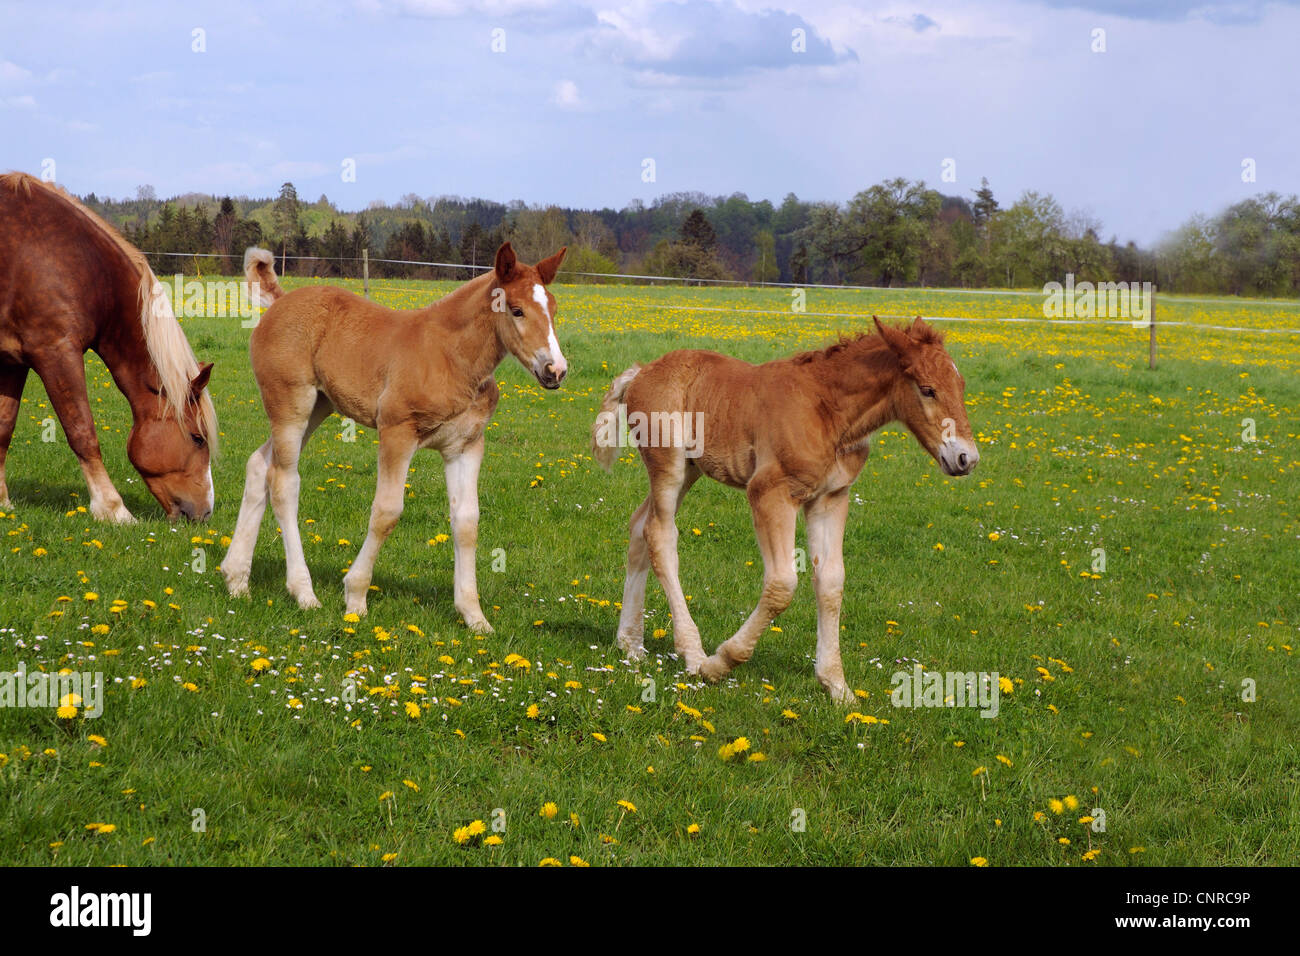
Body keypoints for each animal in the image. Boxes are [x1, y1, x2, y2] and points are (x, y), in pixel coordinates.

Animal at [0, 167, 215, 520]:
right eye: (197, 438)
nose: (205, 512)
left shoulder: (13, 363)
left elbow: (4, 427)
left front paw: (3, 501)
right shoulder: (56, 353)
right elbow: (82, 431)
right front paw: (114, 509)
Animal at [220, 240, 566, 629]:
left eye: (553, 309)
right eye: (517, 310)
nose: (556, 370)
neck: (450, 356)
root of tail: (279, 301)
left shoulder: (465, 446)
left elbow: (467, 522)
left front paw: (474, 616)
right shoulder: (397, 432)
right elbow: (386, 512)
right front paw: (356, 597)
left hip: (319, 407)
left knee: (259, 465)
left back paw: (236, 580)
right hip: (291, 404)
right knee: (283, 482)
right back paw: (304, 593)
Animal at [590, 317, 977, 697]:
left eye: (961, 385)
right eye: (927, 389)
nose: (966, 458)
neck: (829, 411)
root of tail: (641, 371)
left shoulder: (830, 498)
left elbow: (831, 582)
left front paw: (837, 685)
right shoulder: (770, 492)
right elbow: (782, 584)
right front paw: (720, 663)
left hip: (690, 468)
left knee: (639, 526)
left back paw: (630, 644)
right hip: (667, 464)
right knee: (660, 534)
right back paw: (692, 653)